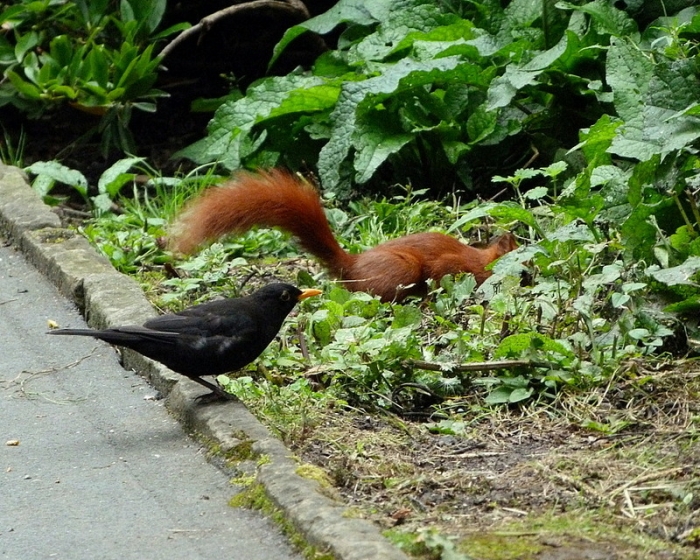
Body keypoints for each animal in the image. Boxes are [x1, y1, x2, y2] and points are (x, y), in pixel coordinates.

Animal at [168, 169, 518, 302]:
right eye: (517, 256)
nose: (528, 277)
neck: (482, 260)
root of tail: (350, 265)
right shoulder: (453, 266)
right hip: (402, 270)